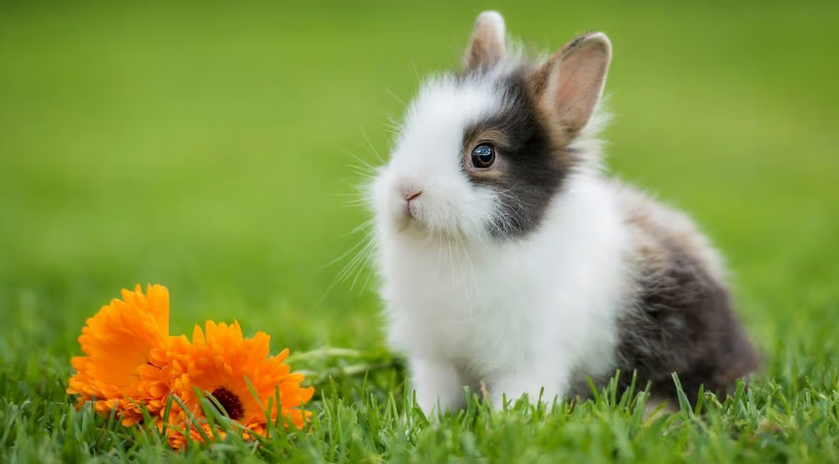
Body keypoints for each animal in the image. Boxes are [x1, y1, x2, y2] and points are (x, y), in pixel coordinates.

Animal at [368, 10, 759, 413]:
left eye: (483, 154)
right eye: (406, 134)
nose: (406, 190)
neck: (457, 250)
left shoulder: (530, 359)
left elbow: (518, 398)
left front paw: (507, 423)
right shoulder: (435, 359)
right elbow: (432, 397)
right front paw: (420, 420)